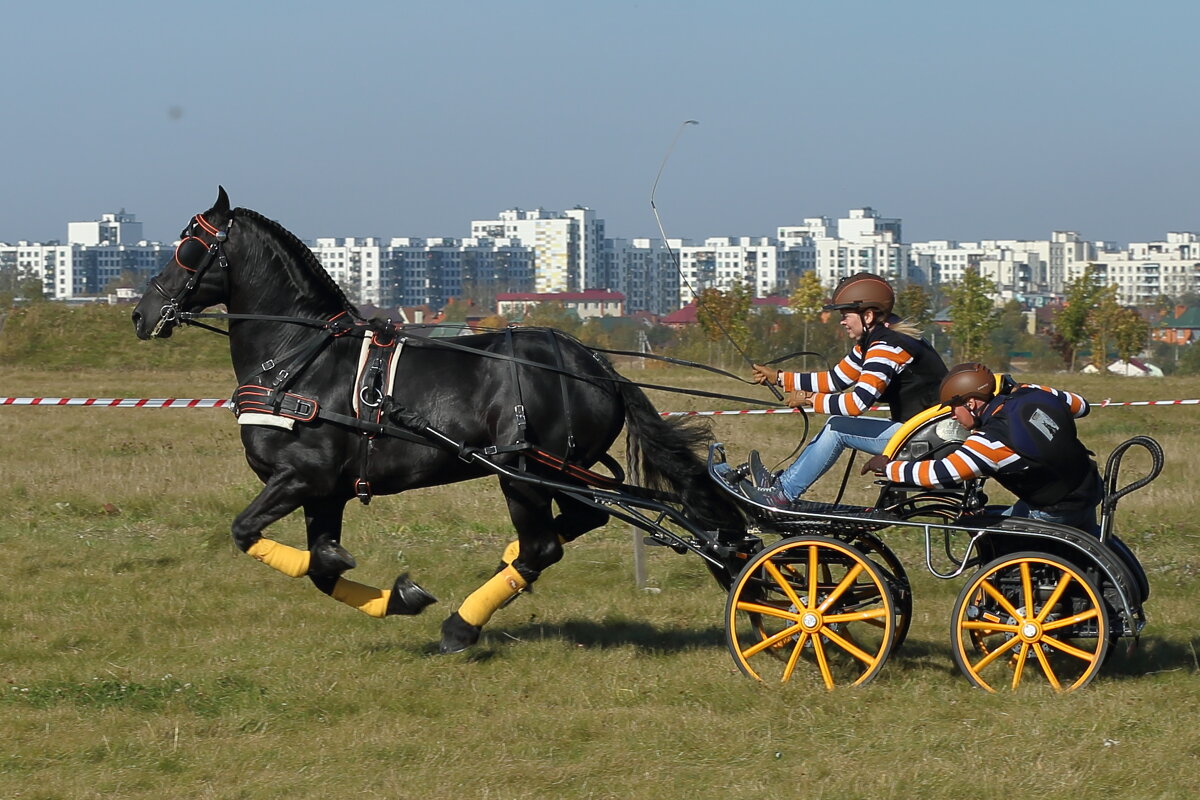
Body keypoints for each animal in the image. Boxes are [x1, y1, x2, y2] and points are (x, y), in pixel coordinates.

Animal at [131, 190, 739, 652]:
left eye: (188, 245)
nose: (141, 314)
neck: (299, 361)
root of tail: (597, 367)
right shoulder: (325, 493)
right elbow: (323, 567)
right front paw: (398, 597)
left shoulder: (301, 478)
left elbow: (246, 532)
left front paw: (411, 601)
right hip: (561, 473)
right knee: (577, 522)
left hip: (522, 474)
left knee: (544, 546)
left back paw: (462, 626)